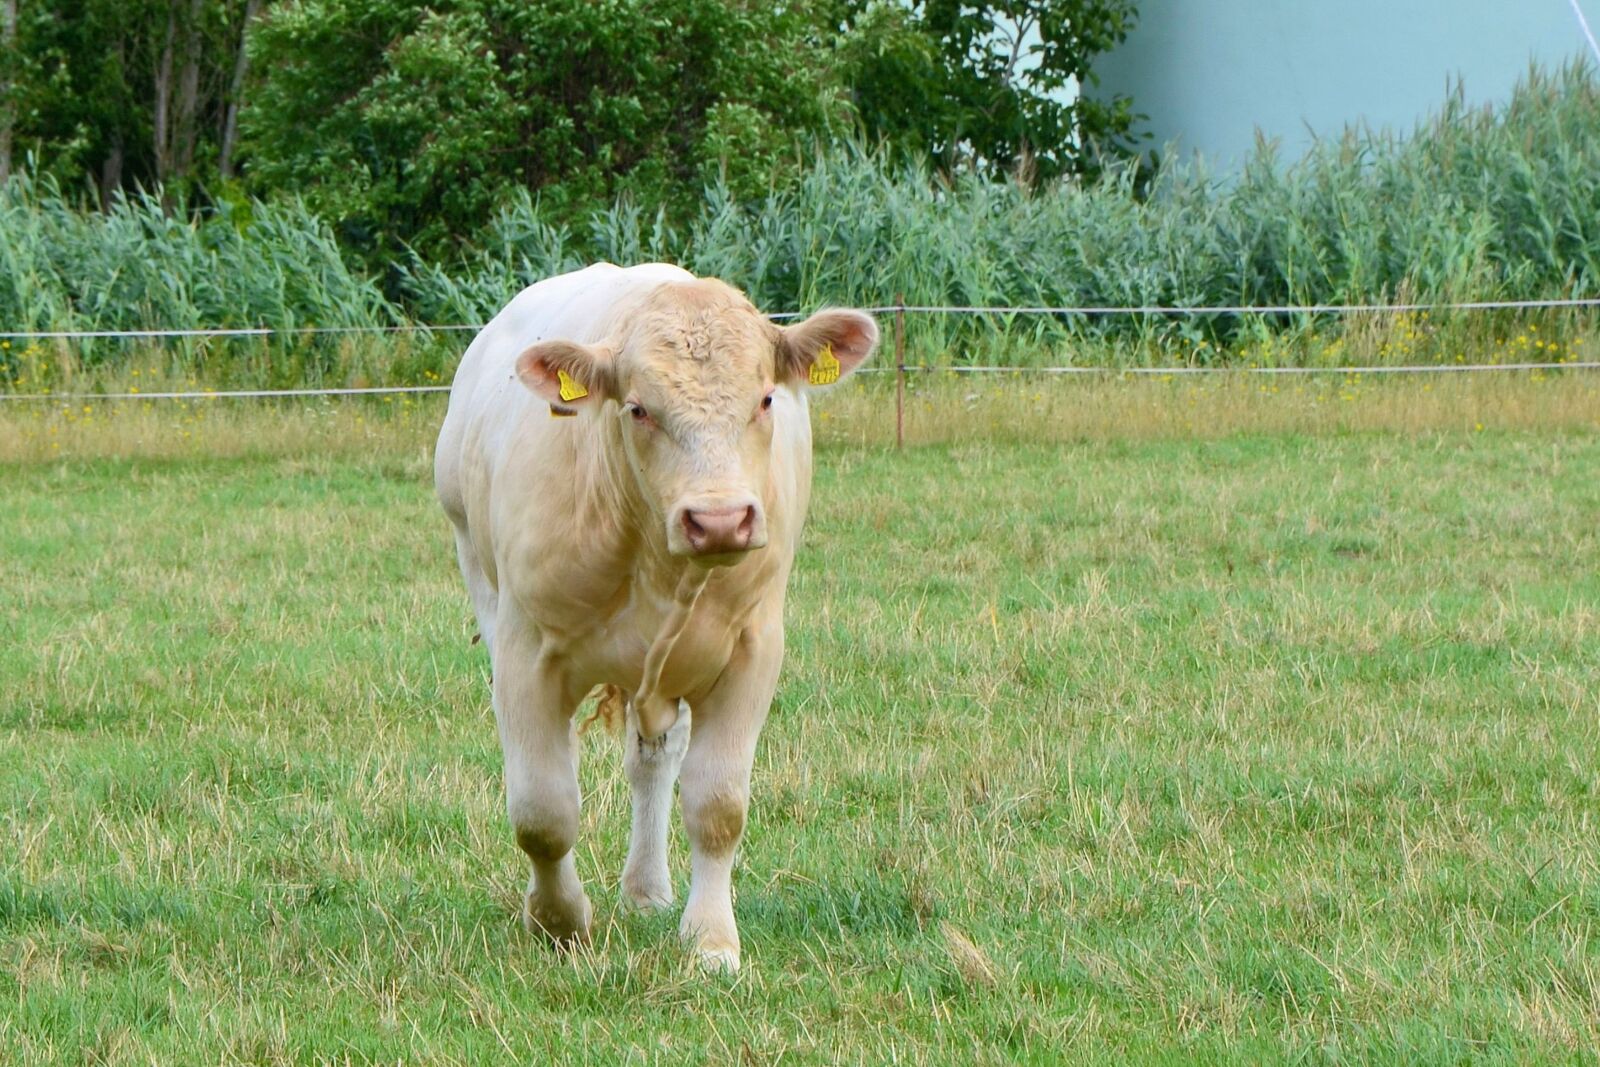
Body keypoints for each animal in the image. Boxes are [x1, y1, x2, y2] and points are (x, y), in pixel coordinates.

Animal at [434, 263, 877, 970]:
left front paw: (712, 940)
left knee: (653, 763)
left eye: (766, 400)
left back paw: (647, 888)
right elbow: (543, 810)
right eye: (638, 408)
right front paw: (559, 920)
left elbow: (718, 804)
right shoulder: (524, 652)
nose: (719, 520)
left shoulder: (752, 649)